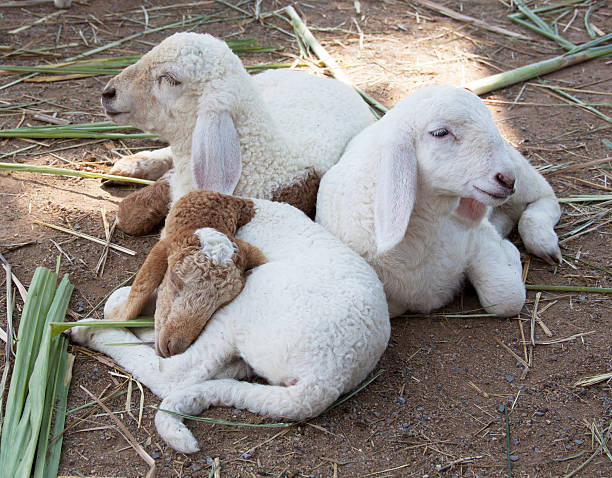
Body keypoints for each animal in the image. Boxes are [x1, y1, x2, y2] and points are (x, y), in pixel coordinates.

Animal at [318, 85, 560, 318]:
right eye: (440, 133)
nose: (507, 179)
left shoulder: (479, 237)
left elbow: (505, 298)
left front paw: (510, 252)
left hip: (519, 170)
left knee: (546, 196)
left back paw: (543, 240)